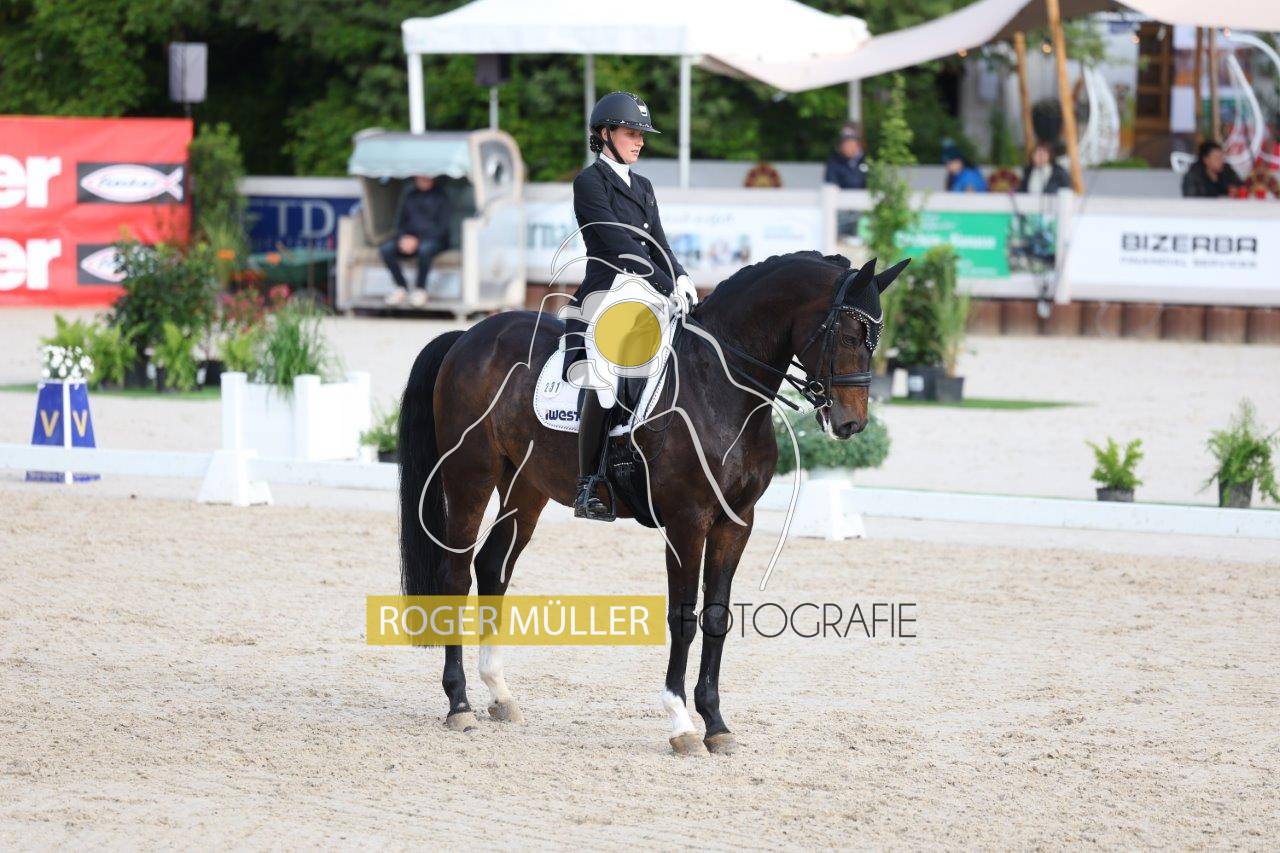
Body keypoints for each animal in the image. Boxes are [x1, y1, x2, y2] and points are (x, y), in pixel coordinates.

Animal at [397, 250, 907, 754]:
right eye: (848, 334)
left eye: (875, 339)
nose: (850, 424)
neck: (720, 386)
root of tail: (470, 337)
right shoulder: (687, 521)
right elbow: (682, 617)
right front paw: (682, 724)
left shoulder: (735, 522)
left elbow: (716, 616)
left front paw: (716, 723)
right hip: (470, 475)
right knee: (456, 573)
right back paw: (459, 703)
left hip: (526, 487)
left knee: (493, 567)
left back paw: (500, 695)